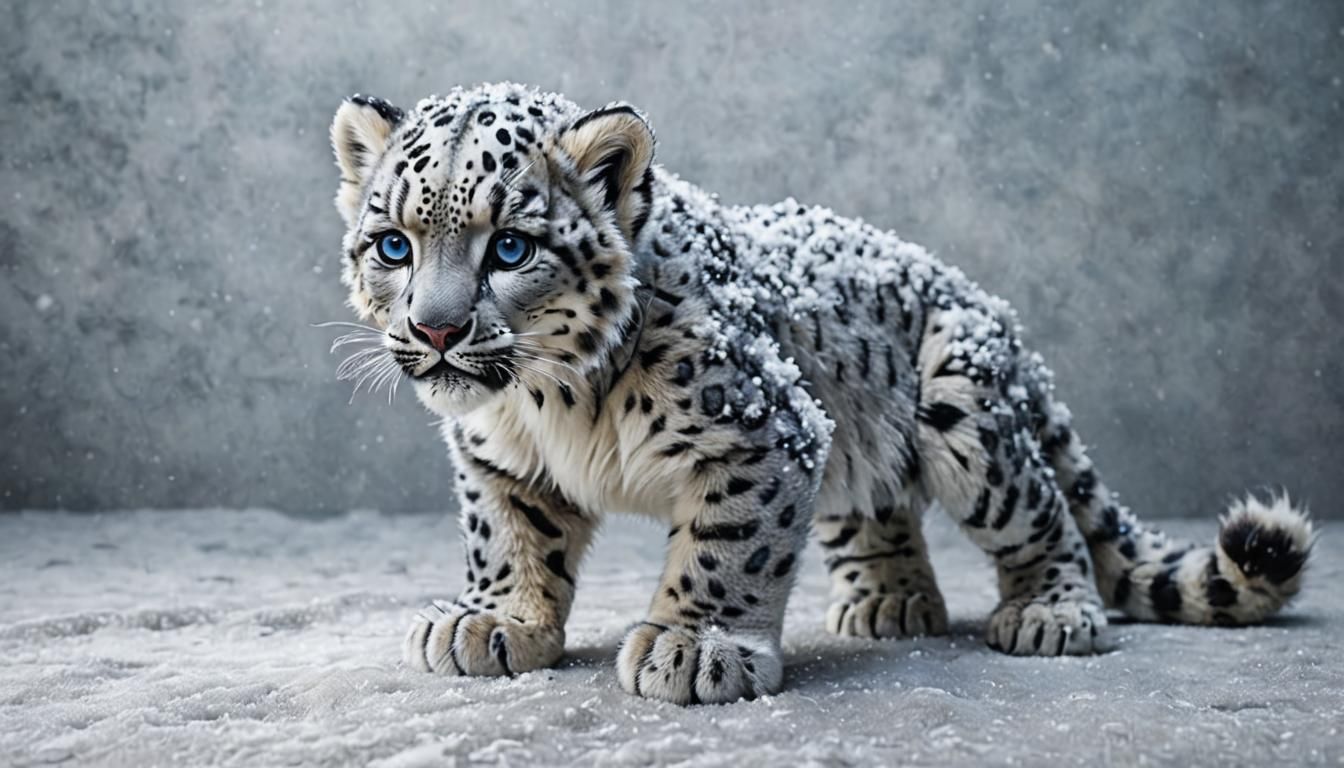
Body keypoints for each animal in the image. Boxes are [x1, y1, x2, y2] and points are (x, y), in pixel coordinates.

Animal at [327, 82, 1314, 705]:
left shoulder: (762, 429)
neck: (545, 402)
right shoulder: (497, 458)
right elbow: (508, 538)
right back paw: (891, 603)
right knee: (881, 502)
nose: (436, 330)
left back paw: (1050, 613)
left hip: (966, 414)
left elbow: (727, 546)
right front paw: (493, 622)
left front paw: (694, 645)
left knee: (1044, 512)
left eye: (511, 247)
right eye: (393, 245)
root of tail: (985, 302)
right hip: (855, 436)